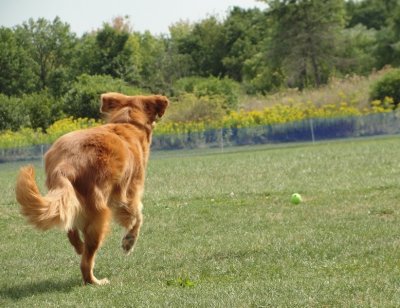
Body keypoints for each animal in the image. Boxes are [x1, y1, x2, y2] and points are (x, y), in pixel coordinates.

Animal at [15, 92, 169, 286]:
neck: (127, 122)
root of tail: (66, 165)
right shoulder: (129, 194)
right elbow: (137, 217)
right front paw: (129, 242)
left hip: (72, 202)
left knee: (70, 228)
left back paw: (79, 247)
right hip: (99, 217)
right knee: (86, 262)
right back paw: (95, 281)